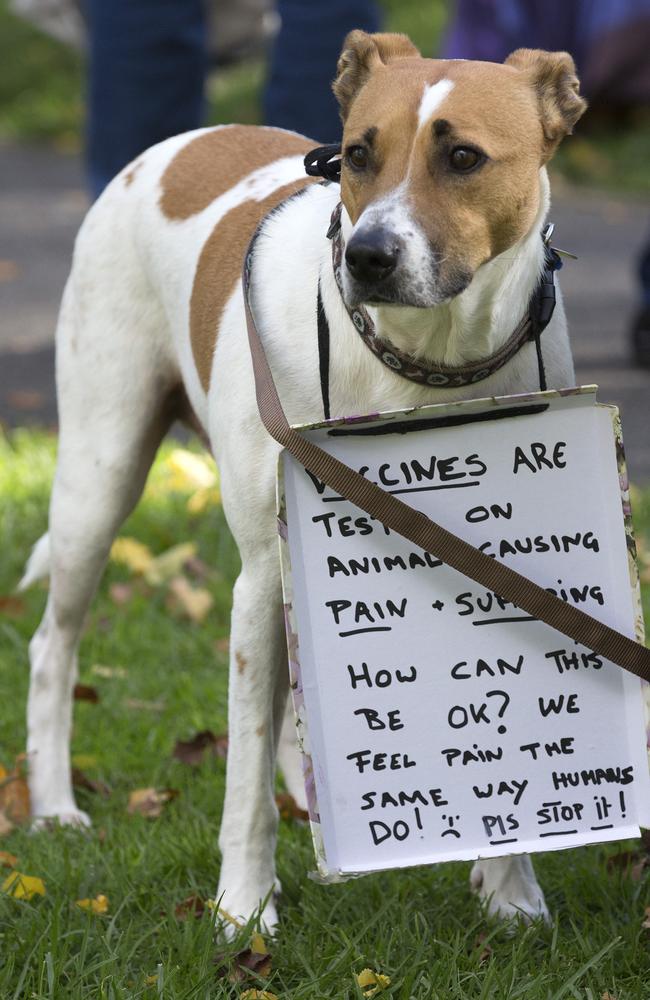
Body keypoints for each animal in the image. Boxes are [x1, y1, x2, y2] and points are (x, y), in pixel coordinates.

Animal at [22, 35, 584, 932]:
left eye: (463, 157)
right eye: (357, 155)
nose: (369, 256)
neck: (424, 361)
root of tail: (184, 141)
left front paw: (511, 892)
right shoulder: (262, 576)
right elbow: (243, 774)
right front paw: (243, 909)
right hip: (98, 477)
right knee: (53, 646)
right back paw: (52, 808)